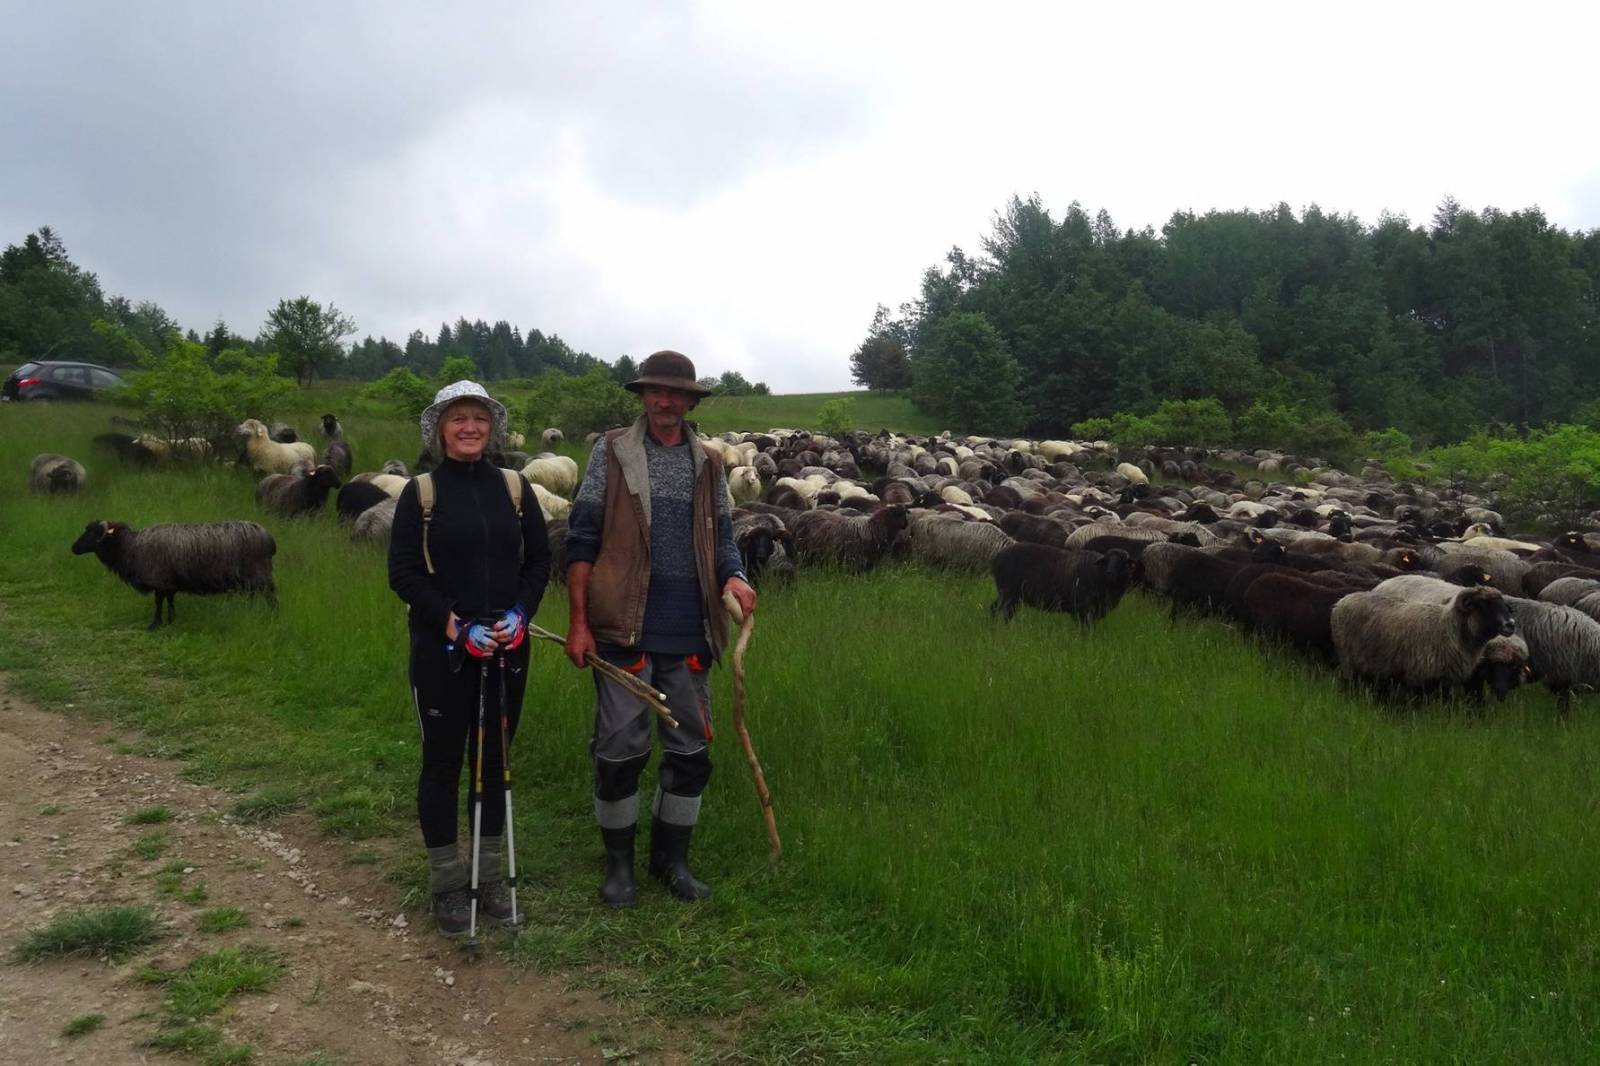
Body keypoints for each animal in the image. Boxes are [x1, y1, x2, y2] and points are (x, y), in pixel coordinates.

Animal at [70, 519, 277, 628]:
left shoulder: (159, 581)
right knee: (253, 596)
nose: (73, 548)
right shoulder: (168, 584)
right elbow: (170, 602)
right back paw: (251, 612)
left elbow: (158, 602)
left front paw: (155, 624)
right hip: (251, 580)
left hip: (260, 574)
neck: (130, 547)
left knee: (271, 596)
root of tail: (268, 538)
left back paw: (272, 616)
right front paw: (171, 621)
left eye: (92, 533)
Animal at [990, 545, 1139, 626]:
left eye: (1123, 561)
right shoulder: (1083, 609)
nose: (1110, 573)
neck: (1098, 574)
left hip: (1012, 596)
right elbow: (1085, 629)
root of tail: (997, 557)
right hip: (1008, 593)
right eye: (1107, 560)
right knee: (997, 610)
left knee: (1003, 612)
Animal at [1330, 586, 1515, 695]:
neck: (1447, 629)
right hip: (1348, 660)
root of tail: (1341, 601)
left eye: (1503, 603)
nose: (1511, 624)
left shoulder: (1445, 681)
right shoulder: (1418, 677)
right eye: (1484, 604)